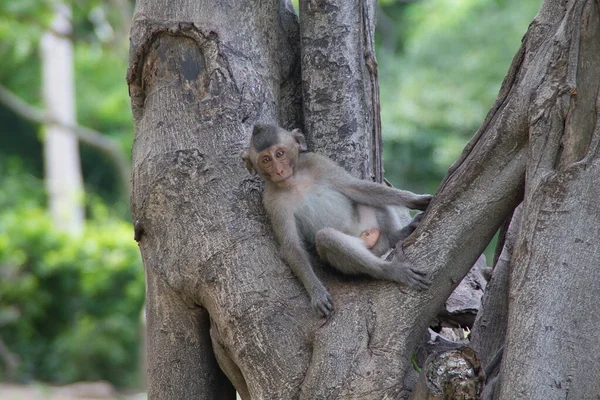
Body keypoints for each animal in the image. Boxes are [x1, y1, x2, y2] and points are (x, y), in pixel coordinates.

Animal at [241, 123, 434, 318]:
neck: (293, 181)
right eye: (266, 160)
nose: (279, 171)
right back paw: (392, 270)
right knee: (327, 237)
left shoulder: (318, 162)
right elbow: (291, 246)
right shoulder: (272, 201)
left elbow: (357, 188)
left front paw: (416, 200)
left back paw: (397, 235)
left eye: (279, 154)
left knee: (369, 199)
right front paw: (317, 292)